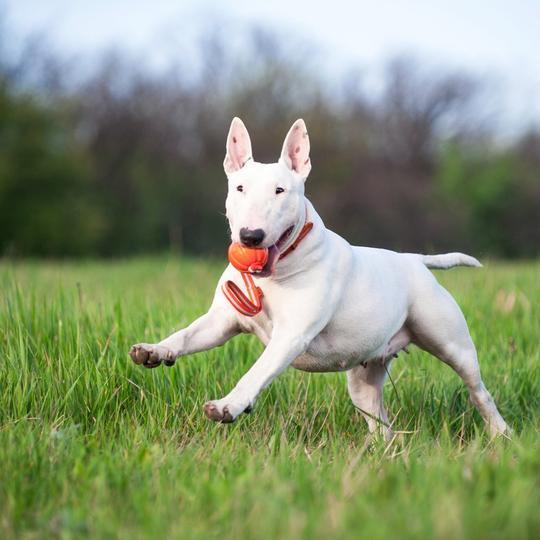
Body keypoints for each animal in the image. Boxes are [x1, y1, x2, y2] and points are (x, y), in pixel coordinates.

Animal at [129, 117, 508, 438]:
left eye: (280, 191)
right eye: (239, 188)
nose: (251, 237)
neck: (275, 273)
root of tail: (414, 261)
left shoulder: (291, 335)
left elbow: (256, 371)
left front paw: (228, 406)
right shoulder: (221, 322)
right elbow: (185, 335)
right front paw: (154, 351)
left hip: (452, 344)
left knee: (479, 392)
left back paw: (501, 434)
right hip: (364, 379)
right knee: (380, 423)